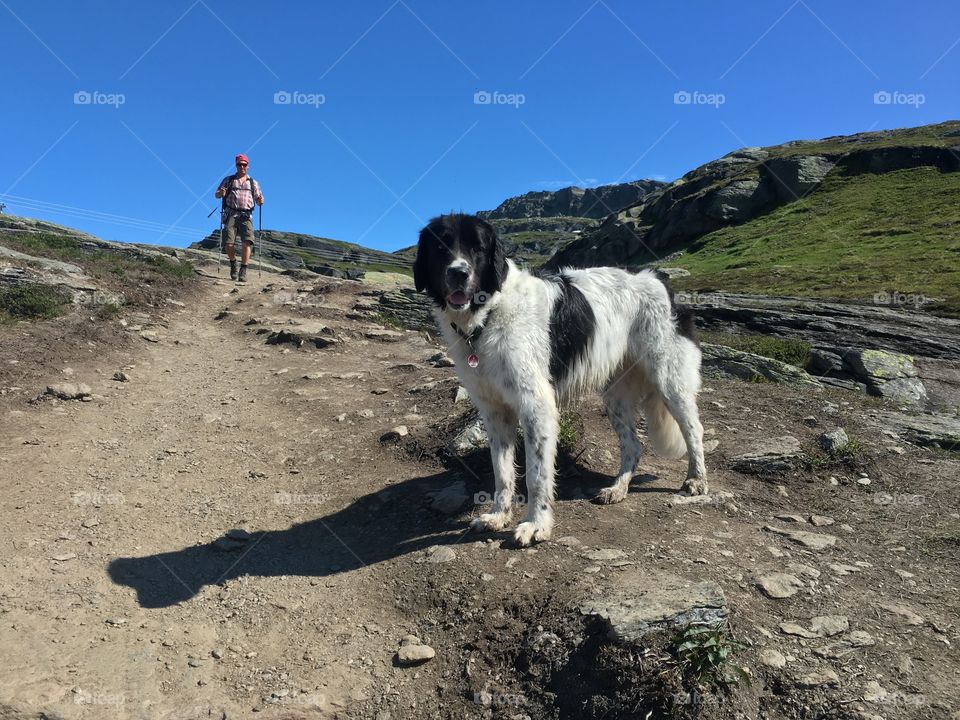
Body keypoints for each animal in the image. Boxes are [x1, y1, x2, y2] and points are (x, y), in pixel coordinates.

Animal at [412, 214, 704, 544]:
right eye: (440, 247)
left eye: (477, 248)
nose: (459, 273)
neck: (489, 313)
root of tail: (659, 281)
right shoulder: (494, 411)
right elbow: (502, 471)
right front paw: (498, 516)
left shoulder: (536, 406)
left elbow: (536, 475)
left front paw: (536, 524)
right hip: (615, 395)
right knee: (633, 445)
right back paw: (618, 488)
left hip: (669, 380)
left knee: (694, 430)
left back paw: (696, 480)